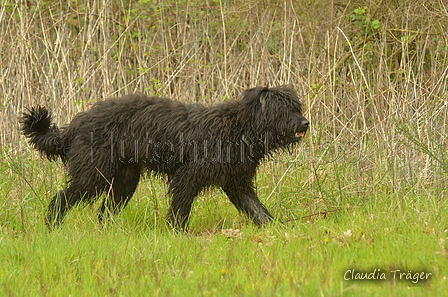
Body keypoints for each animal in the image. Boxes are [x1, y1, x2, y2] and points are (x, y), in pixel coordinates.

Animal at [20, 85, 308, 229]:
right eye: (283, 109)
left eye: (297, 106)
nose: (305, 123)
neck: (239, 128)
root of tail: (76, 123)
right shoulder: (188, 176)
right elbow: (180, 209)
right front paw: (177, 233)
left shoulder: (237, 183)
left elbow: (259, 212)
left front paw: (279, 231)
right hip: (92, 174)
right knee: (61, 198)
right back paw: (52, 228)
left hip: (124, 181)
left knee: (105, 211)